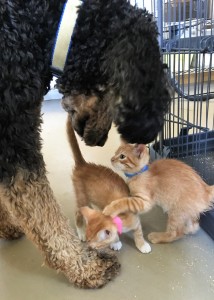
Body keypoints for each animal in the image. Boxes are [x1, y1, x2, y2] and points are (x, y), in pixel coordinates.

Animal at [66, 115, 151, 253]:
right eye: (89, 240)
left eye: (94, 244)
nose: (89, 247)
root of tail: (84, 164)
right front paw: (116, 242)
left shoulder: (135, 220)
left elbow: (138, 233)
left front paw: (142, 244)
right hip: (81, 197)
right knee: (77, 213)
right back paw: (81, 231)